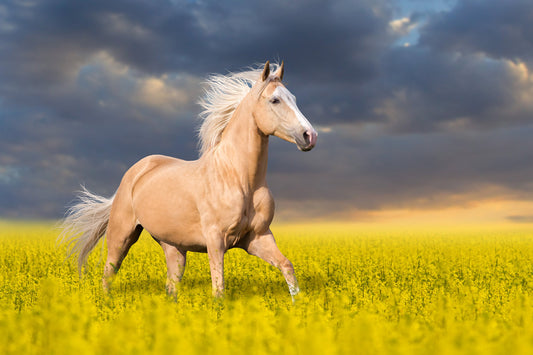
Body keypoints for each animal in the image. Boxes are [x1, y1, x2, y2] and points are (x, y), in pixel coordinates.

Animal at [59, 61, 316, 298]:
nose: (309, 136)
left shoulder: (258, 238)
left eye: (293, 98)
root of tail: (135, 172)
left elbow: (287, 267)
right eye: (275, 100)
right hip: (121, 236)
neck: (239, 178)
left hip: (174, 248)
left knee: (171, 286)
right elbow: (218, 289)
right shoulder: (216, 241)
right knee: (108, 274)